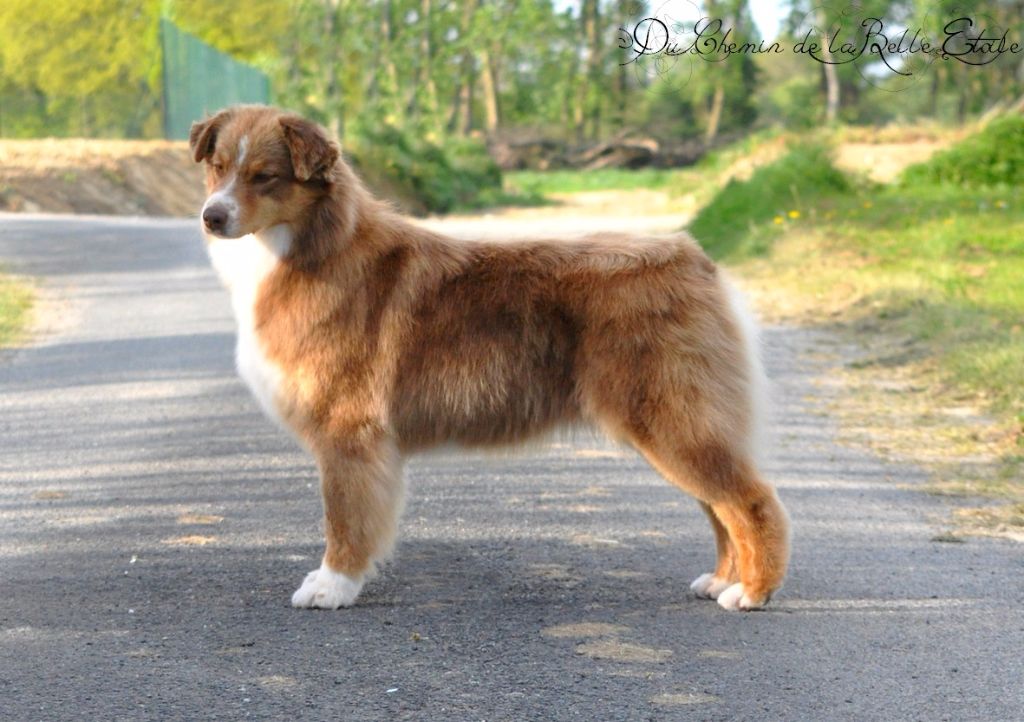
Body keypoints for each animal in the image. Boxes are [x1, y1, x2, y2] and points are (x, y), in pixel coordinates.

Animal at [190, 105, 789, 611]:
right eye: (216, 168)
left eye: (265, 176)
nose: (211, 216)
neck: (307, 247)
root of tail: (696, 260)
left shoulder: (348, 432)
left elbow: (344, 517)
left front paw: (333, 586)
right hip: (678, 424)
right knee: (719, 508)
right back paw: (722, 580)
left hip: (672, 423)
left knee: (751, 502)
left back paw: (752, 592)